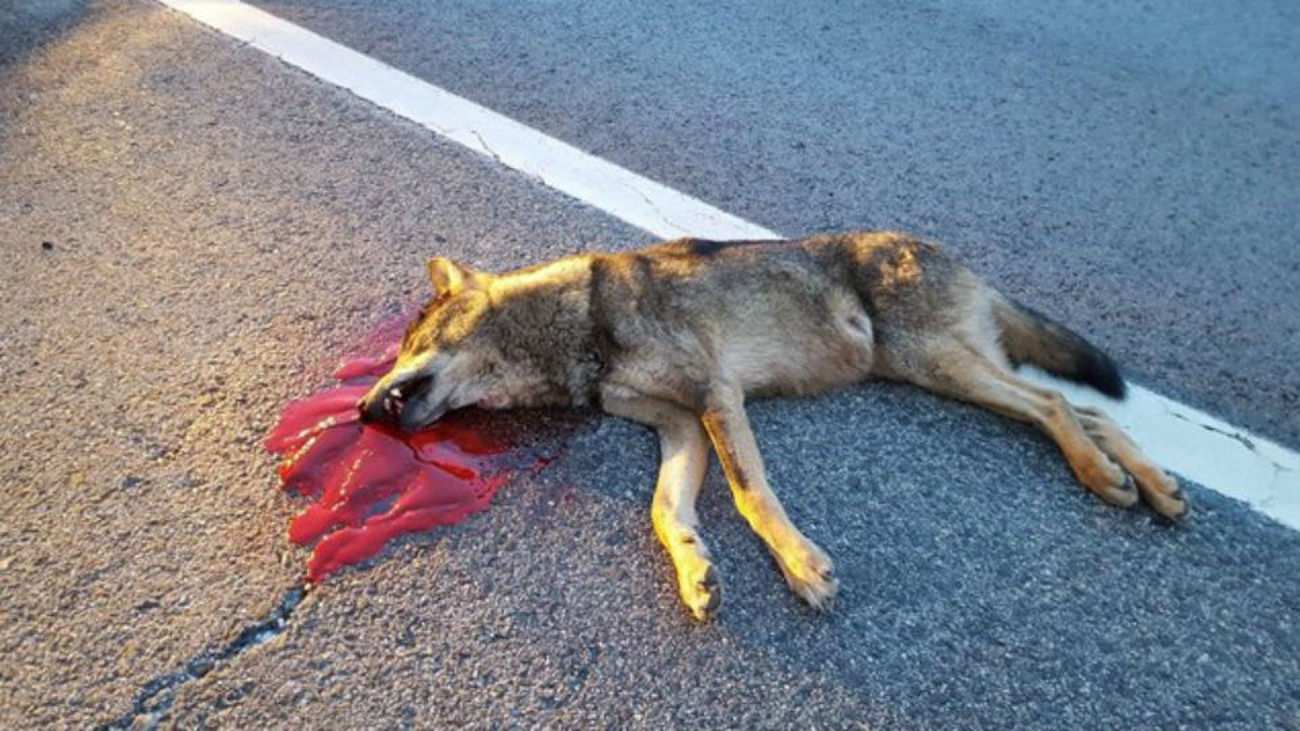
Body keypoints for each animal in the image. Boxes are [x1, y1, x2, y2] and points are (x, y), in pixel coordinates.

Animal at [357, 231, 1186, 620]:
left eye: (408, 343)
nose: (363, 410)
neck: (581, 323)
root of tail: (964, 263)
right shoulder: (681, 427)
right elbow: (665, 511)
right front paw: (695, 571)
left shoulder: (717, 395)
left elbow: (751, 494)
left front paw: (801, 566)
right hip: (944, 370)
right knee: (1085, 409)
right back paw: (1148, 484)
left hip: (939, 364)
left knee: (1056, 406)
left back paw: (1105, 476)